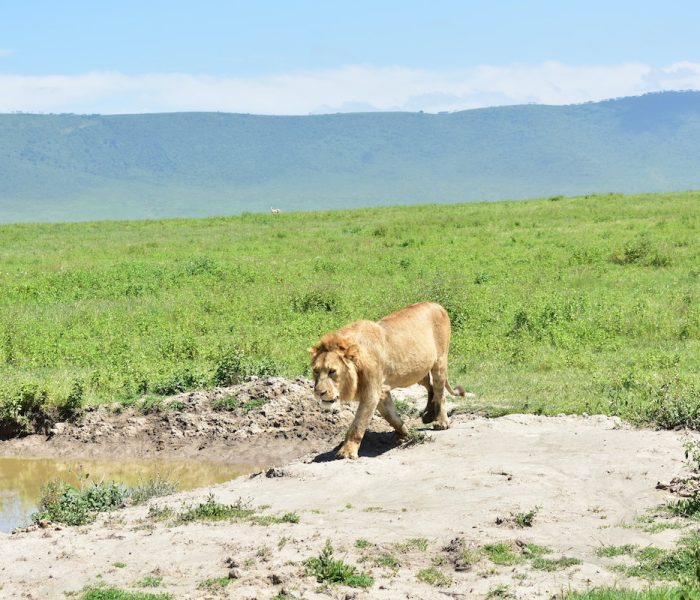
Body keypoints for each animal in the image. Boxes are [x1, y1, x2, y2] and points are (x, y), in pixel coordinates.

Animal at [308, 300, 464, 460]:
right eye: (316, 371)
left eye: (332, 371)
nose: (319, 392)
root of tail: (437, 304)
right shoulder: (382, 392)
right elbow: (392, 416)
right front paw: (404, 433)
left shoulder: (372, 393)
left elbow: (358, 424)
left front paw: (347, 452)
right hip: (419, 371)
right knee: (431, 387)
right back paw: (428, 416)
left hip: (439, 362)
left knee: (440, 393)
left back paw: (441, 421)